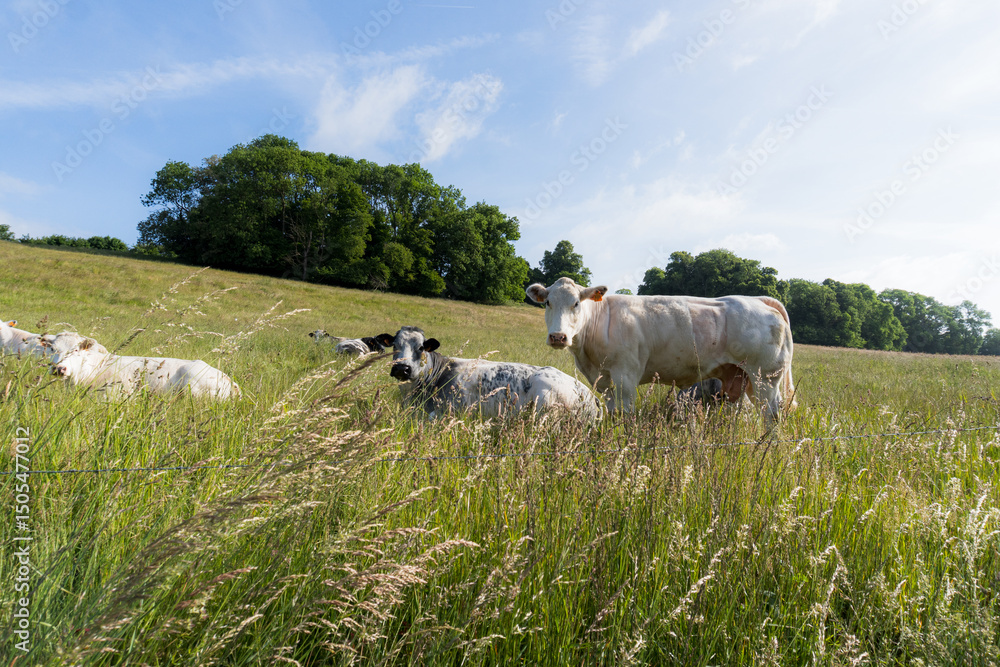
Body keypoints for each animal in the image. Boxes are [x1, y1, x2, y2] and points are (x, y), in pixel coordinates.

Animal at [525, 277, 796, 421]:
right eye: (548, 303)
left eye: (576, 303)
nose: (558, 336)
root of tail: (759, 300)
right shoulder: (606, 382)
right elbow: (613, 413)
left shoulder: (625, 377)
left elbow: (625, 415)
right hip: (747, 378)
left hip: (765, 378)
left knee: (772, 415)